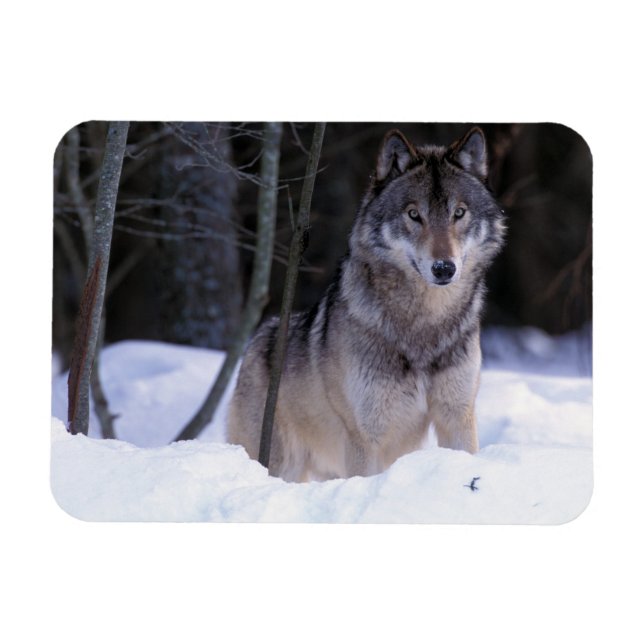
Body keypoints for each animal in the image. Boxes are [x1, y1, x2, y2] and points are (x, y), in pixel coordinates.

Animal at [228, 126, 506, 482]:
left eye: (459, 213)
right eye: (414, 215)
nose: (444, 268)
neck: (425, 326)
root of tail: (257, 340)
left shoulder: (457, 417)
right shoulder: (365, 436)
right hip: (283, 464)